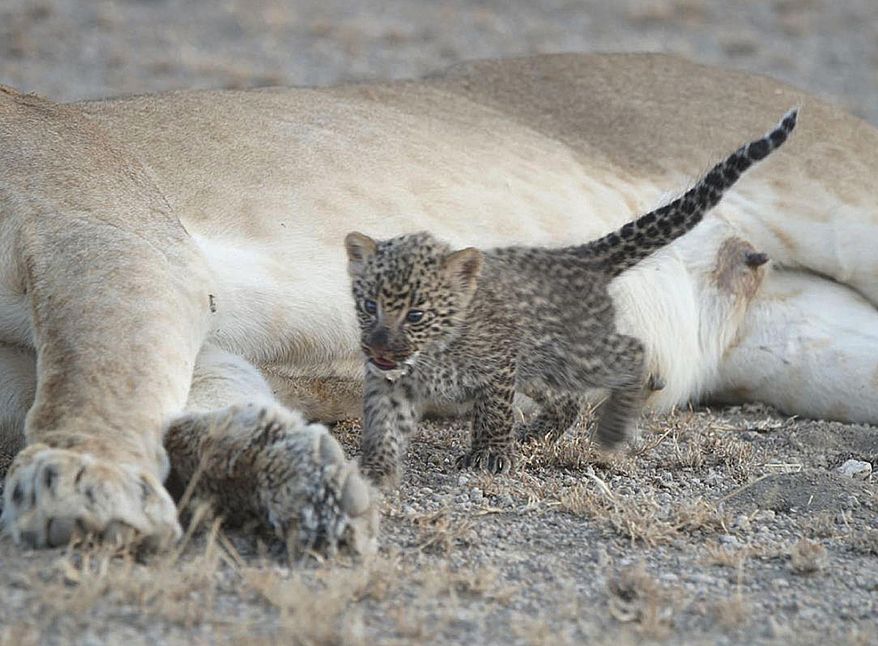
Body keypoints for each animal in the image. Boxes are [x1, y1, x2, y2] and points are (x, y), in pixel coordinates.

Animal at [345, 109, 797, 484]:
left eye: (416, 315)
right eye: (369, 306)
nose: (379, 347)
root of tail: (578, 255)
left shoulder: (498, 366)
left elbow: (493, 412)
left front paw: (491, 455)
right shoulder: (391, 383)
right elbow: (384, 423)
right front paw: (374, 468)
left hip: (581, 351)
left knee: (636, 353)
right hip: (540, 363)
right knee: (567, 400)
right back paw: (537, 431)